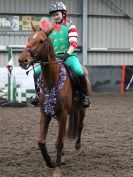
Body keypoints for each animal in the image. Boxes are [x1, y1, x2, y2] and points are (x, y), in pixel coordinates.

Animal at [17, 24, 91, 176]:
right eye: (29, 39)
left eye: (41, 41)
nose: (23, 60)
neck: (53, 79)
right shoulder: (45, 113)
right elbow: (41, 141)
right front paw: (49, 162)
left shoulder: (63, 115)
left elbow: (59, 142)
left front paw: (57, 168)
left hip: (81, 109)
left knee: (80, 126)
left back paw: (77, 147)